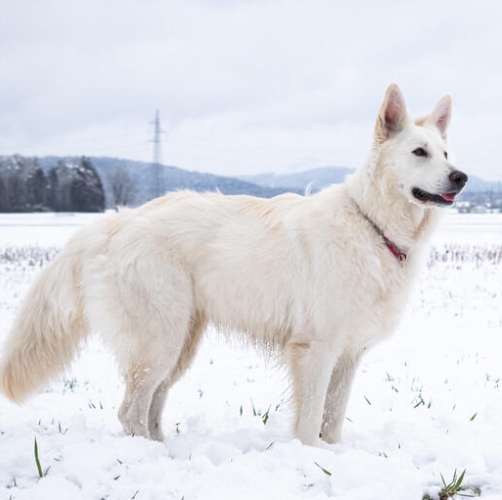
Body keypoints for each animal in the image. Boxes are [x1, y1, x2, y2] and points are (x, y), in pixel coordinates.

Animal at [0, 85, 466, 446]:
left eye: (446, 153)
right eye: (419, 152)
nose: (461, 177)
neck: (371, 224)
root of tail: (115, 222)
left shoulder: (348, 355)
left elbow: (332, 421)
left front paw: (334, 456)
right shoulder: (315, 350)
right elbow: (310, 421)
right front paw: (311, 459)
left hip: (180, 345)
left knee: (150, 407)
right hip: (159, 342)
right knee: (130, 411)